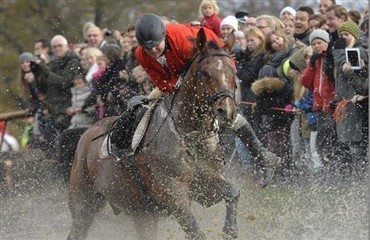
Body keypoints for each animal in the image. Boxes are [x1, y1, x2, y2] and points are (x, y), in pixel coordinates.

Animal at [67, 28, 238, 240]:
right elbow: (195, 230)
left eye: (233, 71)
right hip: (83, 204)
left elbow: (233, 191)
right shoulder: (173, 196)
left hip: (143, 215)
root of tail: (87, 134)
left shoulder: (206, 184)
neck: (189, 135)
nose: (227, 112)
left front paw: (230, 229)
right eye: (205, 73)